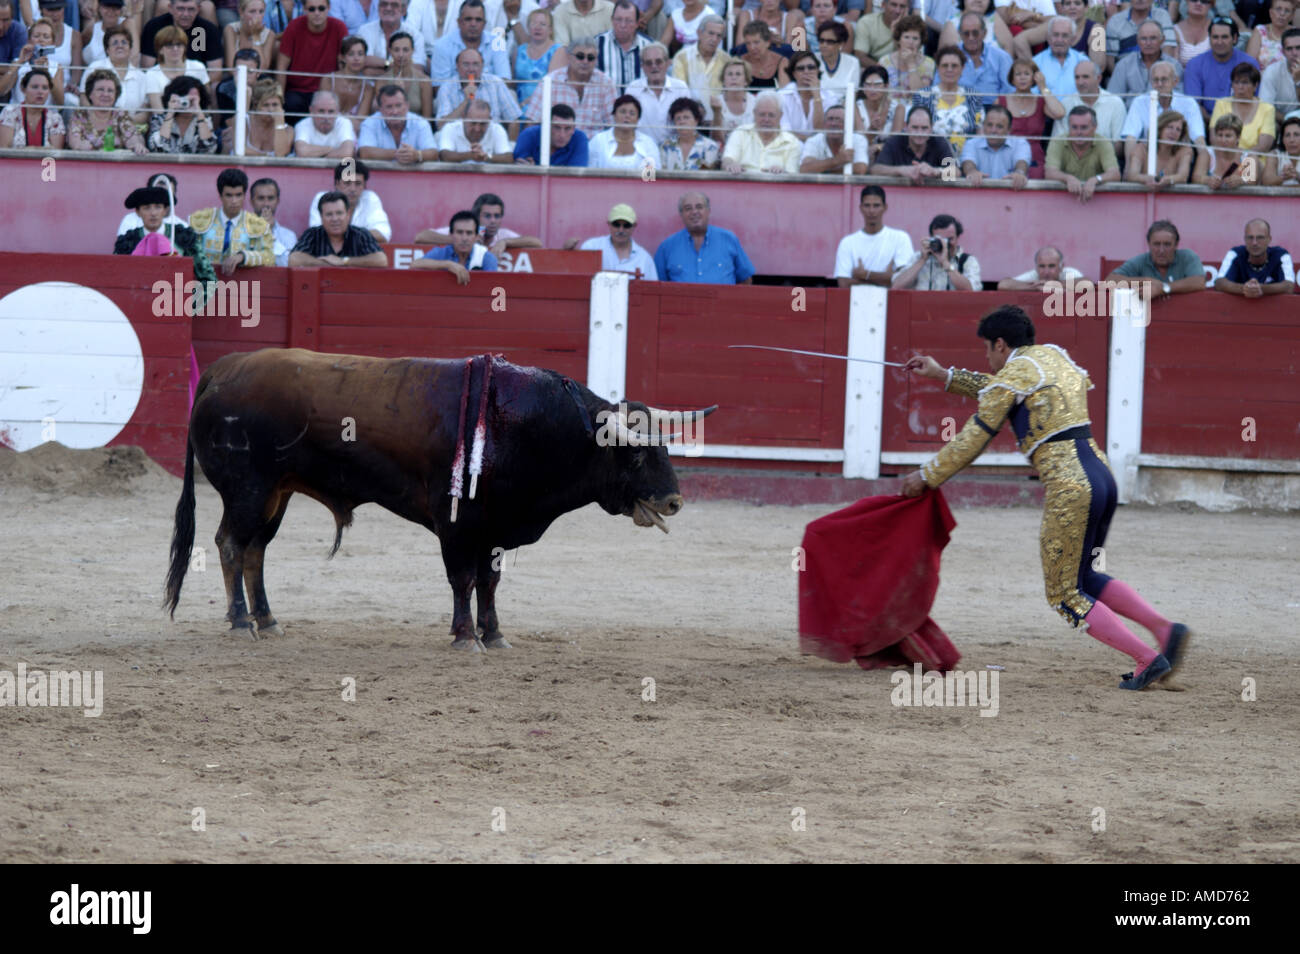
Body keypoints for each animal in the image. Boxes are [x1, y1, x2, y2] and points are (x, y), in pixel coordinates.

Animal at [159, 348, 722, 655]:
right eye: (635, 455)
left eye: (664, 447)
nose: (674, 501)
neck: (522, 423)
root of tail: (223, 370)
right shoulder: (457, 525)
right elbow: (464, 580)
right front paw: (465, 637)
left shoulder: (495, 529)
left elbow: (490, 582)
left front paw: (495, 635)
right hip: (249, 491)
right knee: (230, 544)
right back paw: (240, 624)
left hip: (277, 493)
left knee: (255, 551)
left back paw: (268, 621)